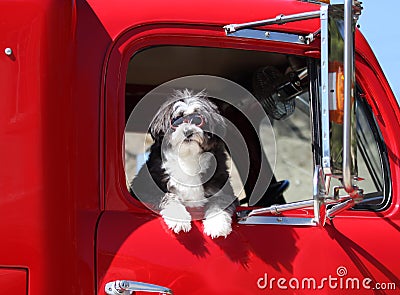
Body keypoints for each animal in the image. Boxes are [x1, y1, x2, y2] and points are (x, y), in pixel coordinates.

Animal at [130, 89, 238, 239]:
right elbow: (169, 197)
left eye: (198, 120)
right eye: (176, 120)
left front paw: (217, 226)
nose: (188, 131)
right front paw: (179, 220)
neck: (188, 157)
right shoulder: (145, 189)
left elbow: (220, 204)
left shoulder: (223, 188)